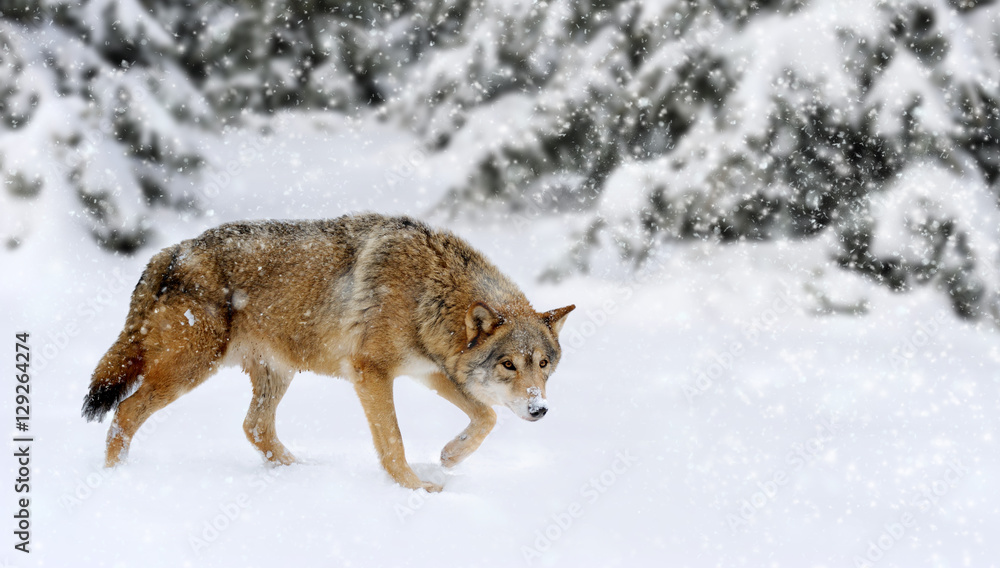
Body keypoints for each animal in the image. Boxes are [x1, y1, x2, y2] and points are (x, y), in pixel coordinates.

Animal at [82, 213, 576, 492]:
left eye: (543, 365)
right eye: (508, 364)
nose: (540, 410)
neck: (429, 293)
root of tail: (170, 252)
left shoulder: (430, 371)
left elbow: (486, 417)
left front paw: (449, 458)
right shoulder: (370, 373)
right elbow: (393, 443)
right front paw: (415, 489)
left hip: (275, 375)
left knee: (254, 428)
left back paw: (302, 472)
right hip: (190, 370)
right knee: (125, 412)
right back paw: (115, 481)